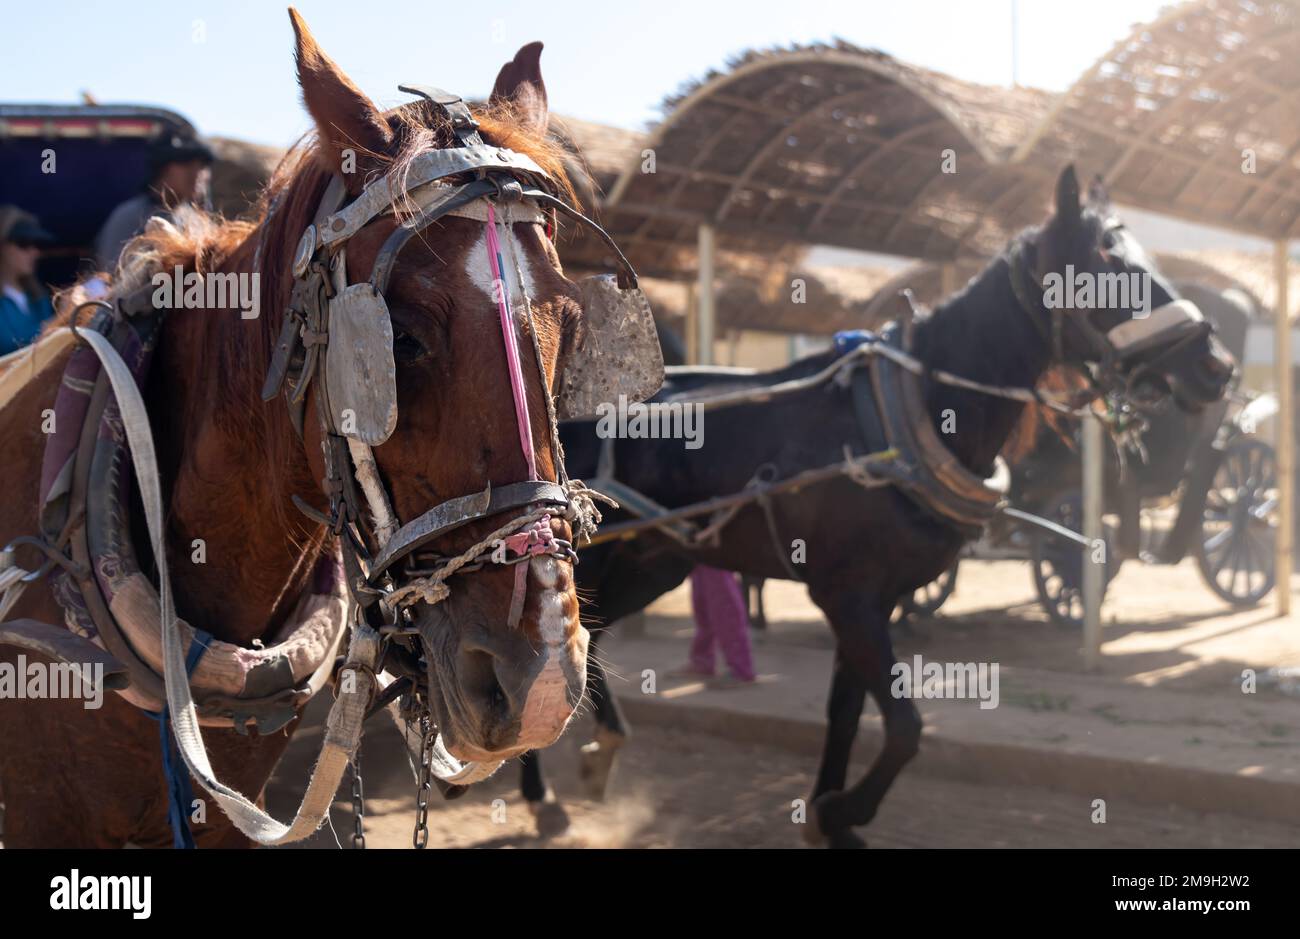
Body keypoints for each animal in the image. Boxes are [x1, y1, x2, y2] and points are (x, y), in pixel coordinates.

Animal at [517, 167, 1237, 846]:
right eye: (1106, 265)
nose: (1218, 364)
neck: (905, 413)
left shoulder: (874, 600)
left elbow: (848, 715)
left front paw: (829, 817)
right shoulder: (849, 597)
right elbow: (906, 726)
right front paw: (845, 807)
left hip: (655, 561)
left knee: (588, 643)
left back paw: (600, 751)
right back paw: (539, 790)